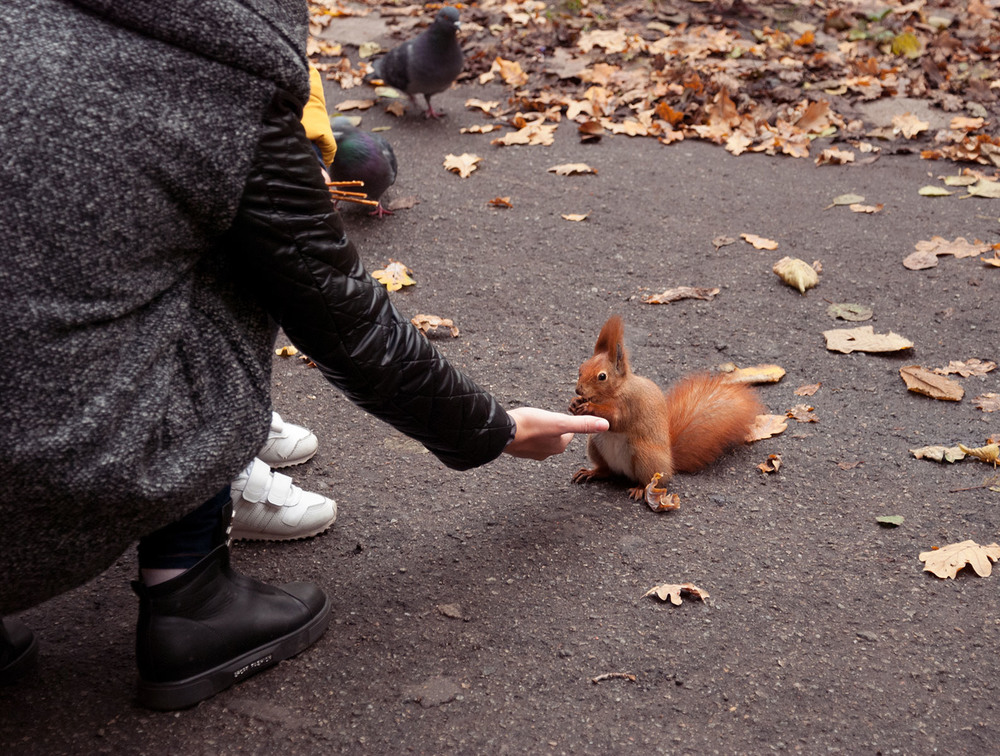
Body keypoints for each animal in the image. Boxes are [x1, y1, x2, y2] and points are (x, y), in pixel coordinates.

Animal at [568, 314, 760, 502]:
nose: (578, 389)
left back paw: (640, 489)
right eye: (581, 368)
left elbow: (616, 420)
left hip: (644, 456)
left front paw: (589, 406)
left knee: (649, 480)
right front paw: (575, 403)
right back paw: (591, 472)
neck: (615, 391)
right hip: (595, 445)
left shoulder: (631, 404)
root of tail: (670, 463)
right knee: (606, 470)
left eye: (602, 376)